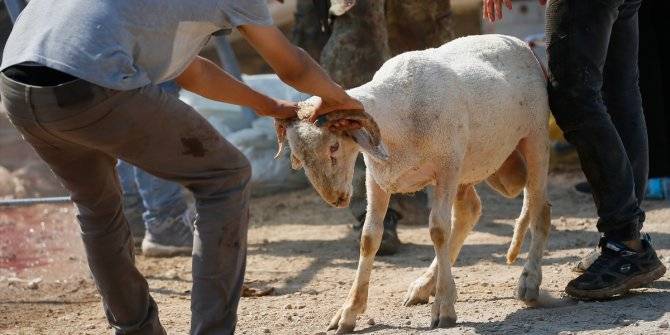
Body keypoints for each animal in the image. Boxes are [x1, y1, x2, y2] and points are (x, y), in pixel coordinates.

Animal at [276, 34, 552, 334]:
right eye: (298, 157)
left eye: (334, 146)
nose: (335, 198)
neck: (400, 109)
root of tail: (518, 42)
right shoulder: (378, 176)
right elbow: (369, 237)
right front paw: (349, 311)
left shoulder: (446, 168)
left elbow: (438, 230)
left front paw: (444, 308)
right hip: (469, 166)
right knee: (470, 211)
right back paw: (425, 285)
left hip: (534, 139)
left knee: (539, 208)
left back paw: (529, 281)